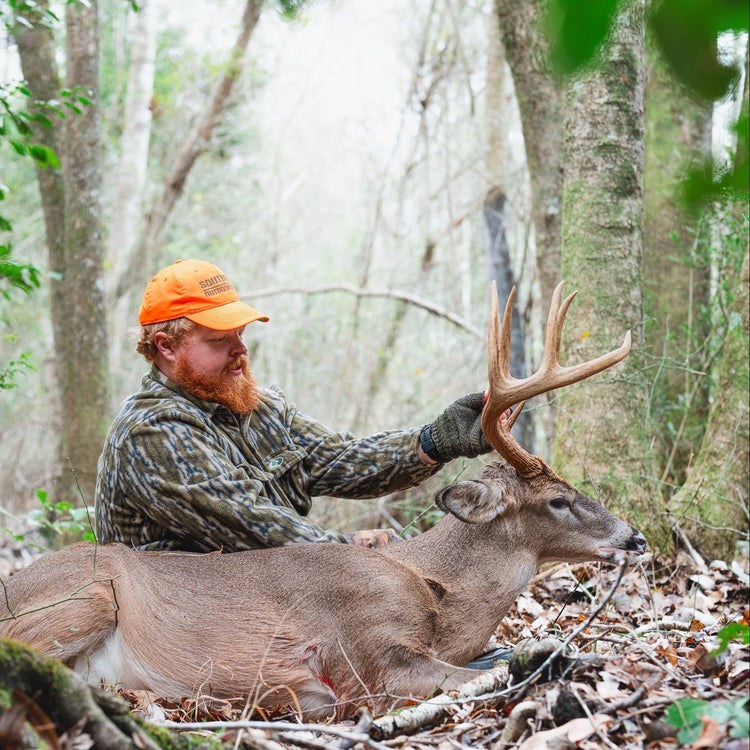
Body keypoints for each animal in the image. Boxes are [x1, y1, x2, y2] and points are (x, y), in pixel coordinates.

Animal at [0, 282, 646, 720]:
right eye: (558, 500)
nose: (634, 536)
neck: (437, 594)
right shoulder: (371, 656)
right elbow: (480, 672)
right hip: (83, 596)